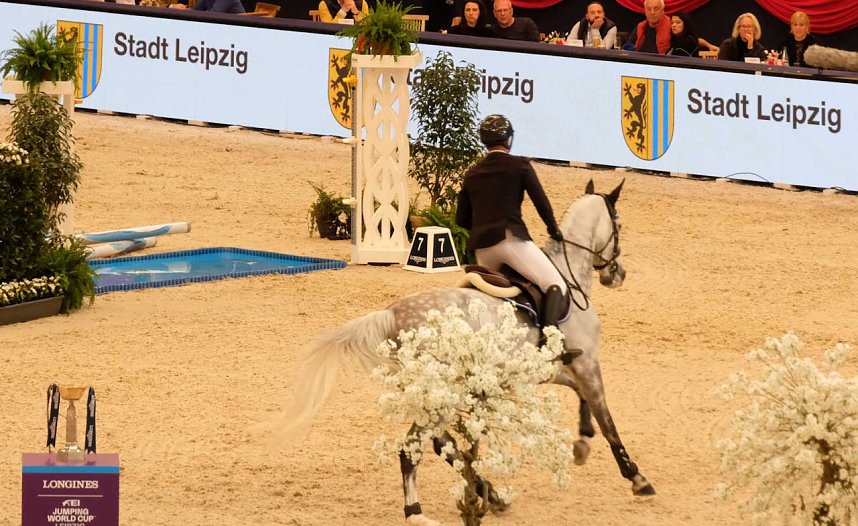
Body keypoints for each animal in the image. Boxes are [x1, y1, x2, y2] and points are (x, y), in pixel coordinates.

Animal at [272, 179, 654, 525]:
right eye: (619, 224)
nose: (618, 274)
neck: (569, 276)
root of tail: (393, 314)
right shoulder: (587, 362)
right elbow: (607, 419)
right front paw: (637, 478)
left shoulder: (557, 367)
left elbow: (584, 400)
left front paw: (582, 444)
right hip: (442, 396)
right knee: (412, 449)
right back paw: (418, 512)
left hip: (434, 396)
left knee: (441, 444)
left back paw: (490, 493)